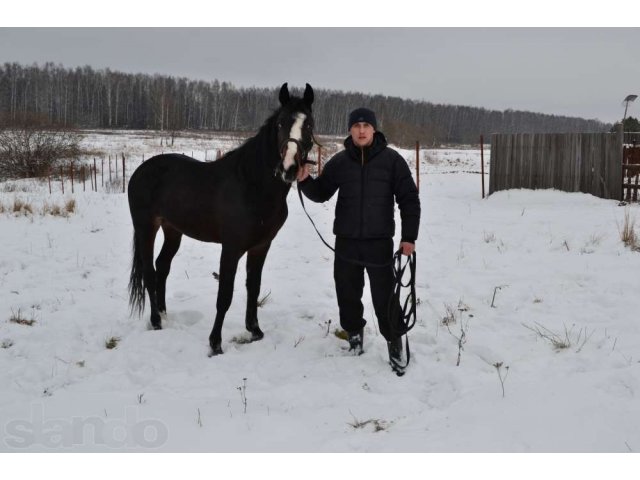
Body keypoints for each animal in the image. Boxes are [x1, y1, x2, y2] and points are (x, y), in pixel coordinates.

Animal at [127, 82, 316, 354]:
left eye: (309, 124)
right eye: (281, 123)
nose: (289, 168)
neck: (252, 185)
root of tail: (140, 171)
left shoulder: (261, 246)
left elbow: (253, 287)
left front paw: (255, 331)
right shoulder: (231, 248)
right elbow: (225, 295)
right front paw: (215, 343)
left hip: (173, 230)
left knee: (162, 267)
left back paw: (163, 314)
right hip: (146, 228)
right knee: (149, 272)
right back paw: (155, 321)